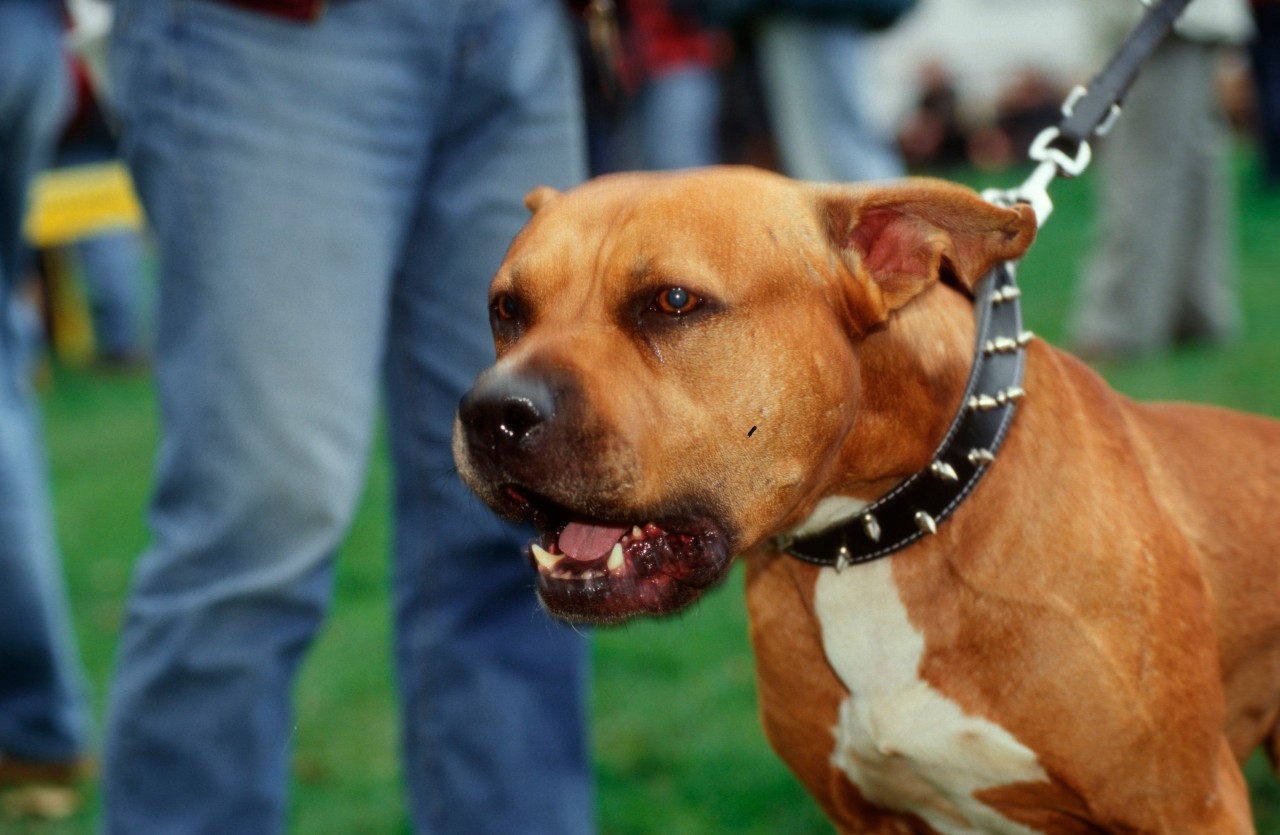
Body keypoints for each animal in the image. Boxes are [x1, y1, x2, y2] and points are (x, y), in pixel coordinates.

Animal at [453, 166, 1280, 829]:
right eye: (506, 309)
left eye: (673, 301)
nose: (491, 414)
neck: (882, 529)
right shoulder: (867, 815)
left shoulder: (1185, 804)